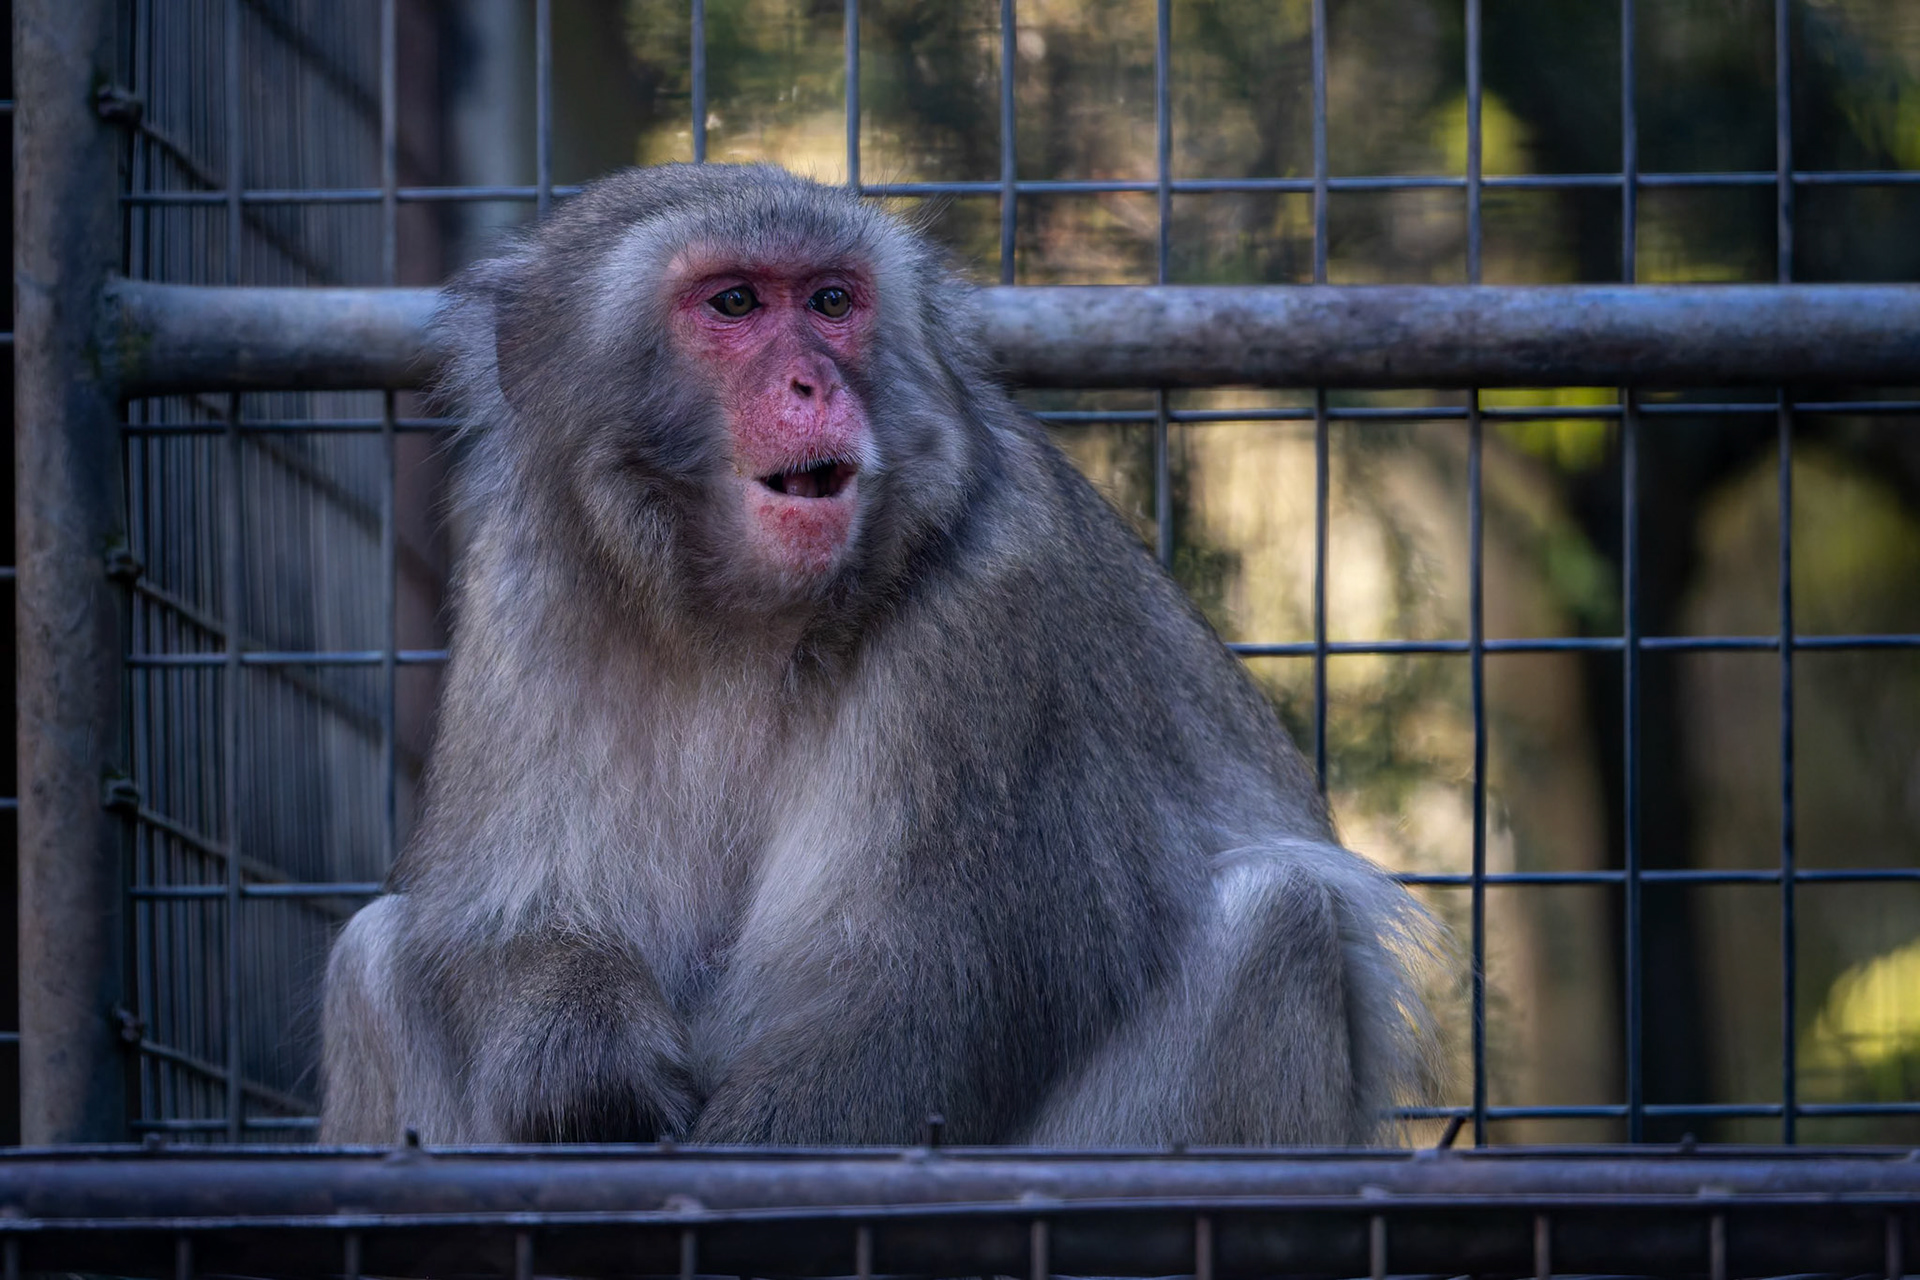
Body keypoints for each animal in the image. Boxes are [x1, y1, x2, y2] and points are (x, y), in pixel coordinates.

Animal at [319, 163, 1437, 1148]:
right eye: (734, 301)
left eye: (830, 300)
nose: (815, 380)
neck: (740, 616)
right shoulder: (525, 584)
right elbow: (512, 918)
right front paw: (581, 1068)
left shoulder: (995, 601)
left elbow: (922, 986)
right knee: (373, 960)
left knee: (1276, 922)